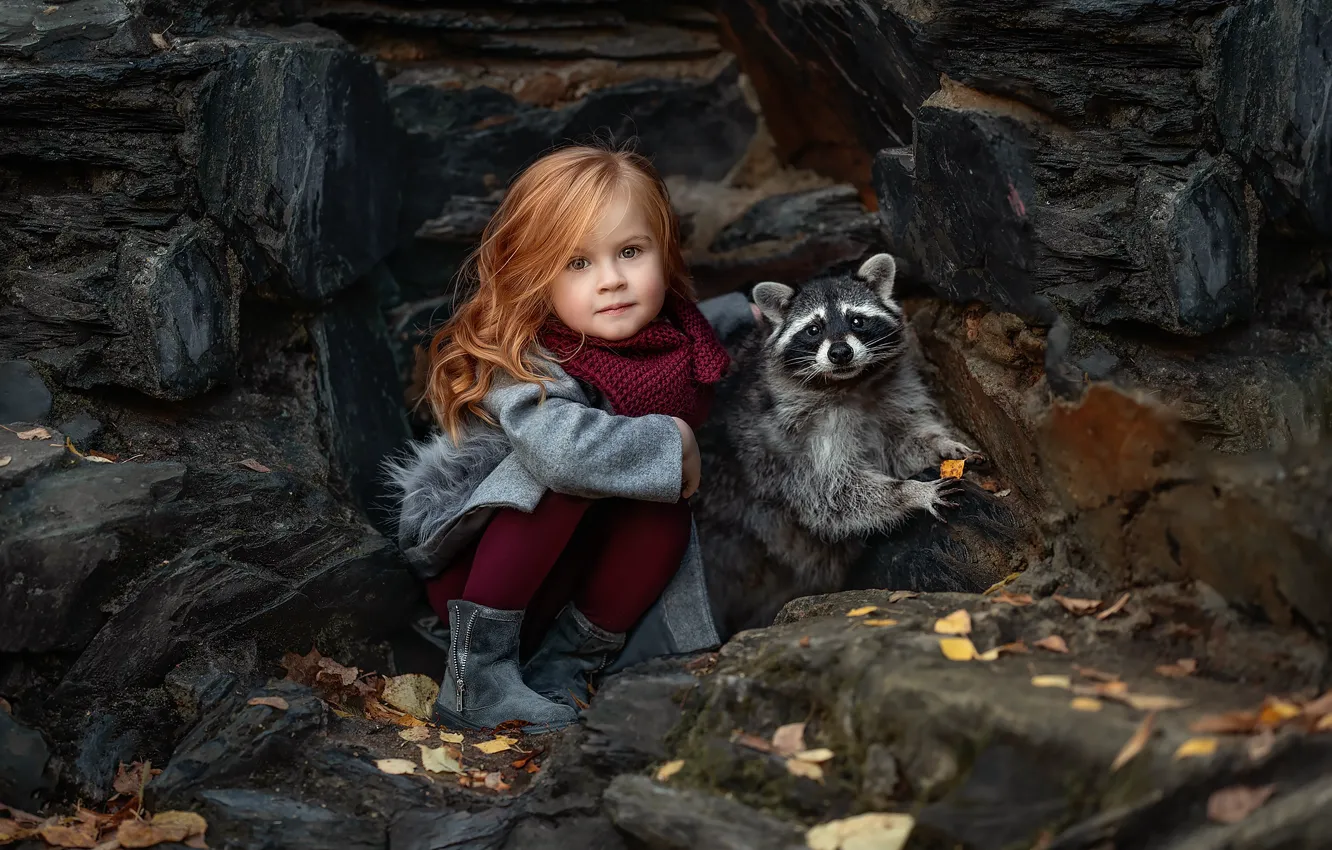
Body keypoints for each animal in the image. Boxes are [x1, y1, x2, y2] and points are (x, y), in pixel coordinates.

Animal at [695, 253, 979, 637]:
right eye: (813, 329)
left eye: (856, 320)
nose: (841, 352)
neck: (850, 384)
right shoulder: (800, 440)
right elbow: (831, 494)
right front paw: (910, 492)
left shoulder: (891, 395)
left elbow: (904, 439)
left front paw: (941, 444)